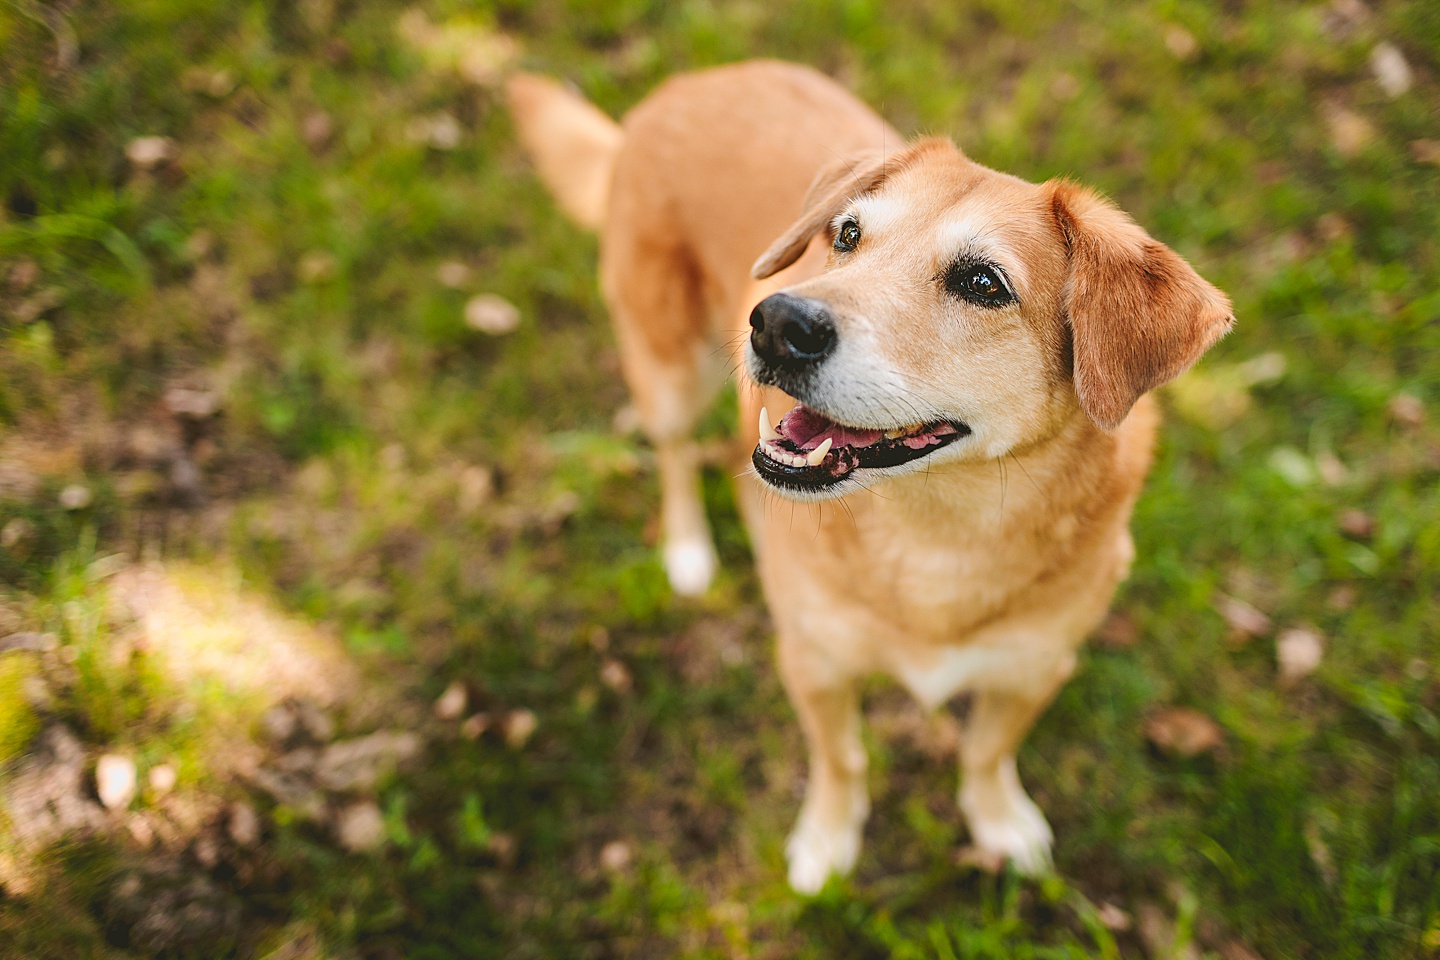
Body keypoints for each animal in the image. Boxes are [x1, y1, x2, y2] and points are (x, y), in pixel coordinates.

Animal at [506, 60, 1226, 892]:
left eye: (984, 284)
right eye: (848, 235)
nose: (776, 323)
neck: (940, 532)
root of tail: (695, 79)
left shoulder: (1035, 666)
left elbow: (987, 750)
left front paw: (999, 820)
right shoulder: (815, 663)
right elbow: (842, 757)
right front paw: (827, 839)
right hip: (667, 368)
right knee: (676, 455)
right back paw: (688, 549)